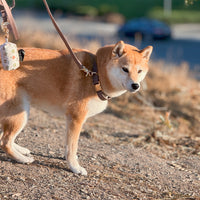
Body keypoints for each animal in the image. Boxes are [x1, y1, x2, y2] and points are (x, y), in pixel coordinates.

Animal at [0, 40, 152, 175]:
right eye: (125, 69)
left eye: (139, 71)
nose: (135, 85)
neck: (96, 74)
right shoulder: (76, 118)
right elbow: (72, 147)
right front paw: (75, 167)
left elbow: (70, 146)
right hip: (20, 112)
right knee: (5, 141)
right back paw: (23, 159)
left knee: (3, 137)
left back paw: (20, 150)